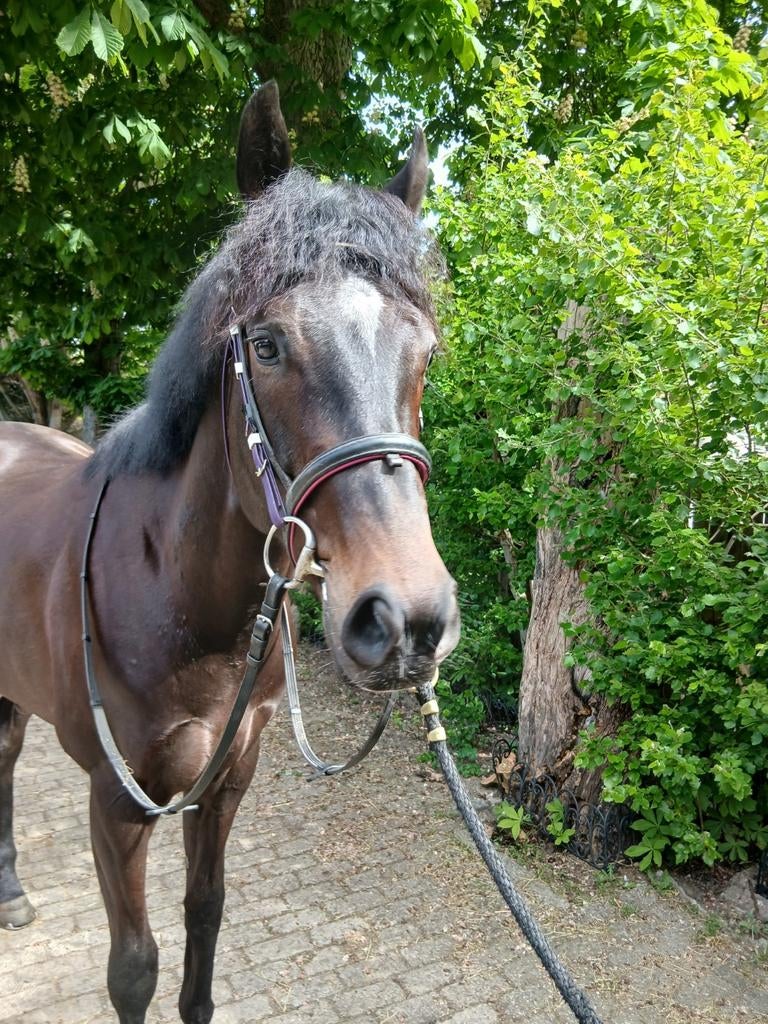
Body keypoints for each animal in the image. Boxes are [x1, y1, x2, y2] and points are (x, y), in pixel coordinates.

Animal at [0, 82, 460, 1023]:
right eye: (269, 343)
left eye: (425, 352)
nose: (407, 619)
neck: (173, 601)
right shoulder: (116, 802)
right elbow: (134, 968)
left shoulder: (225, 785)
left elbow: (205, 924)